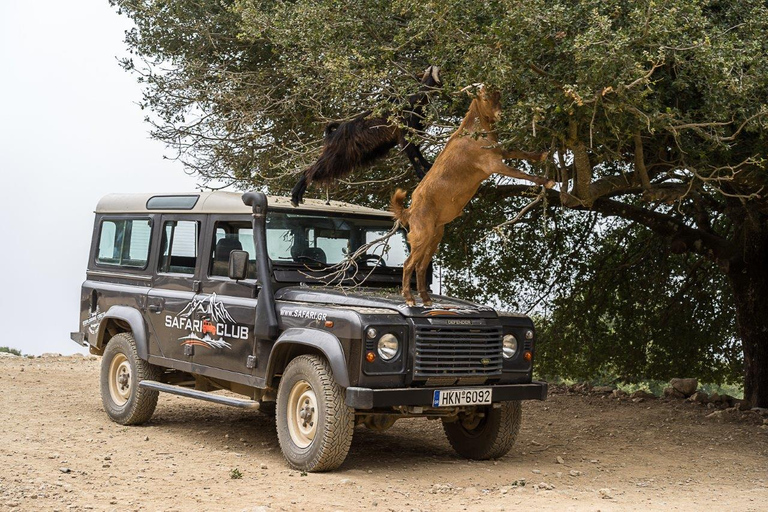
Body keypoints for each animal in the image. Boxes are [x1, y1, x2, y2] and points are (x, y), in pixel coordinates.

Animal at [290, 65, 444, 206]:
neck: (414, 101)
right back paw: (296, 196)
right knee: (311, 170)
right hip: (336, 156)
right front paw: (422, 175)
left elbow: (418, 154)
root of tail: (333, 133)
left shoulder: (414, 134)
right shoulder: (404, 135)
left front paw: (429, 166)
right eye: (434, 77)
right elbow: (413, 156)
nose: (443, 86)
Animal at [390, 85, 552, 306]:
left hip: (435, 235)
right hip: (421, 235)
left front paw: (542, 155)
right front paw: (547, 181)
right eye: (483, 97)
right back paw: (409, 299)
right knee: (408, 264)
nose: (500, 114)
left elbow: (519, 151)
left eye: (498, 94)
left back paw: (426, 299)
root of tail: (409, 211)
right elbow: (521, 173)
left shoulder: (500, 152)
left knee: (421, 265)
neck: (475, 131)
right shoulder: (492, 164)